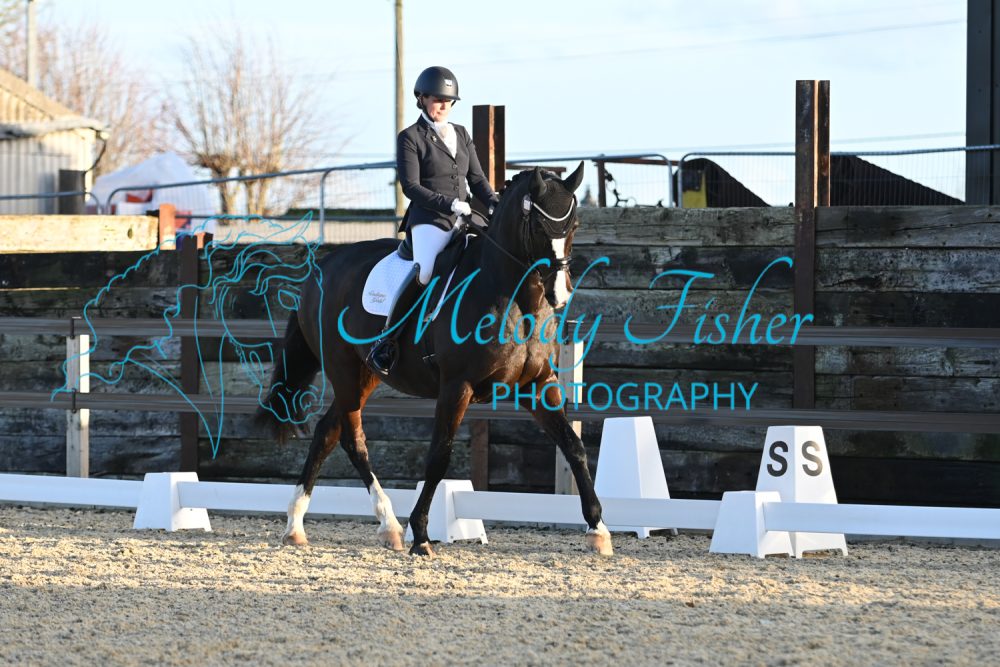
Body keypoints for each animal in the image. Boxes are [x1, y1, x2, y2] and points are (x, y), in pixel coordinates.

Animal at [256, 162, 613, 557]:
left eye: (574, 226)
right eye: (537, 226)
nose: (560, 293)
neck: (514, 298)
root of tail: (322, 269)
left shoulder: (538, 385)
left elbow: (574, 447)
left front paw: (598, 529)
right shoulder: (457, 386)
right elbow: (439, 456)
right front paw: (422, 535)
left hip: (366, 375)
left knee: (327, 433)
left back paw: (299, 525)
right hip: (344, 370)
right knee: (353, 439)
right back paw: (390, 525)